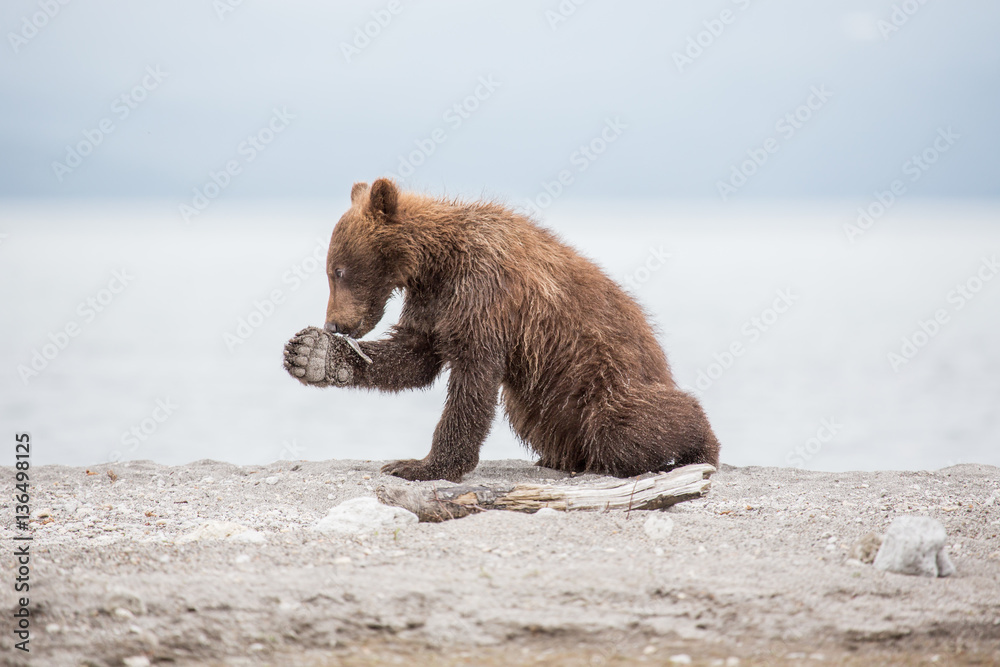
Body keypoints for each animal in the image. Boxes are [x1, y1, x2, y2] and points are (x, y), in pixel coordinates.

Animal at [283, 179, 720, 482]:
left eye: (338, 270)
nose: (334, 323)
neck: (437, 262)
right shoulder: (433, 303)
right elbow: (415, 356)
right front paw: (313, 354)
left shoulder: (484, 292)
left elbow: (471, 379)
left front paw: (421, 465)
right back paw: (559, 458)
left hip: (606, 380)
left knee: (625, 425)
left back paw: (700, 446)